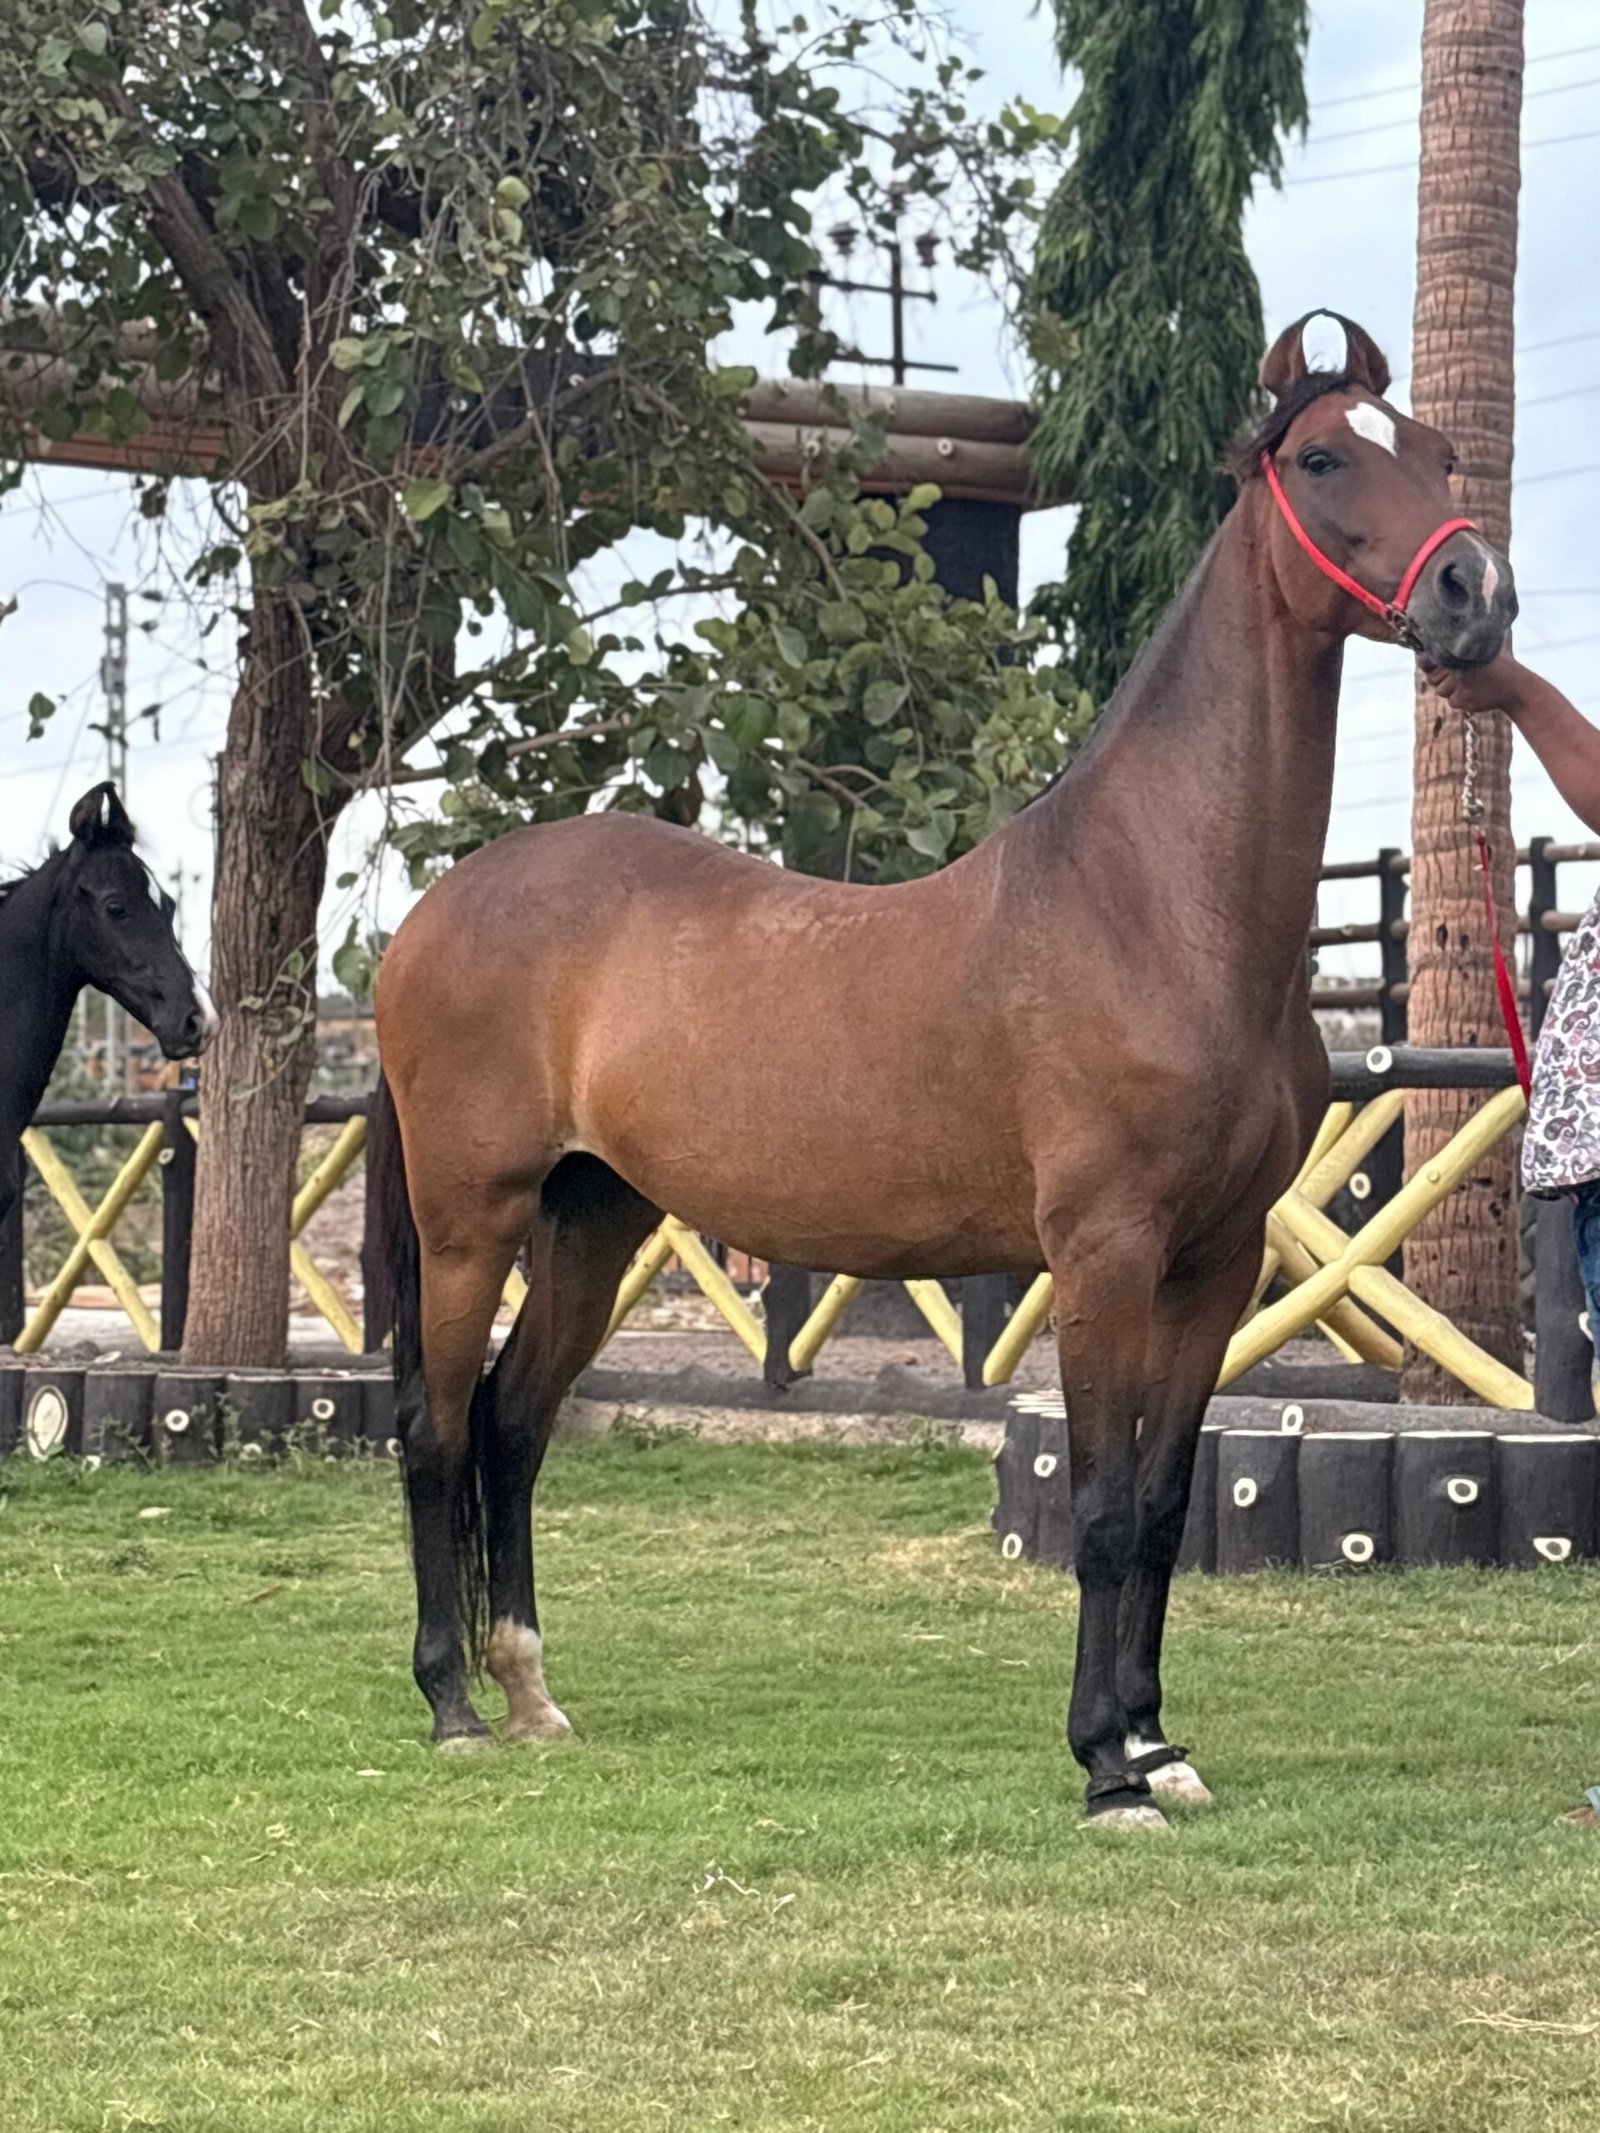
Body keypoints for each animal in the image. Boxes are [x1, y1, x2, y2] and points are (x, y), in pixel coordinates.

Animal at [368, 311, 1516, 1828]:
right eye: (1325, 457)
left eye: (1439, 450)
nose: (1474, 592)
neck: (1156, 906)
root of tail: (430, 913)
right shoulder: (1100, 1254)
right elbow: (1099, 1505)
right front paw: (1106, 1770)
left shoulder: (1213, 1264)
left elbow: (1163, 1505)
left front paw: (1160, 1743)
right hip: (470, 1219)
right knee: (438, 1429)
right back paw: (448, 1706)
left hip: (593, 1217)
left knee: (511, 1425)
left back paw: (531, 1696)